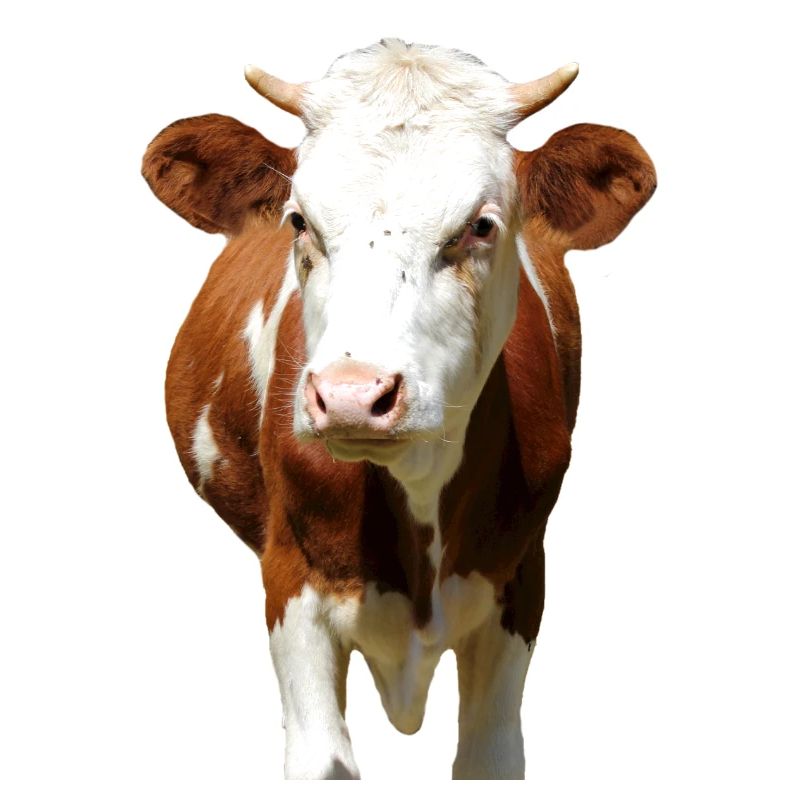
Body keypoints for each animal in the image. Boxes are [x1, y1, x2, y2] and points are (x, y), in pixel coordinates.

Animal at [142, 39, 655, 780]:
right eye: (300, 221)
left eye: (481, 226)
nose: (353, 396)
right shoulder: (291, 585)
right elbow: (323, 758)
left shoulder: (521, 580)